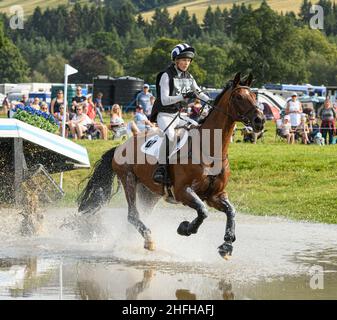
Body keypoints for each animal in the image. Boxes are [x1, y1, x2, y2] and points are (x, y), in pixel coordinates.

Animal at [77, 72, 264, 258]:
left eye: (255, 96)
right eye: (239, 97)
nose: (259, 121)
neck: (209, 150)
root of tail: (120, 146)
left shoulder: (215, 195)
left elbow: (231, 212)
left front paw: (227, 245)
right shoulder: (183, 191)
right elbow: (203, 211)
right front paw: (186, 228)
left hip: (150, 193)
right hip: (128, 179)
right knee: (132, 214)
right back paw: (148, 240)